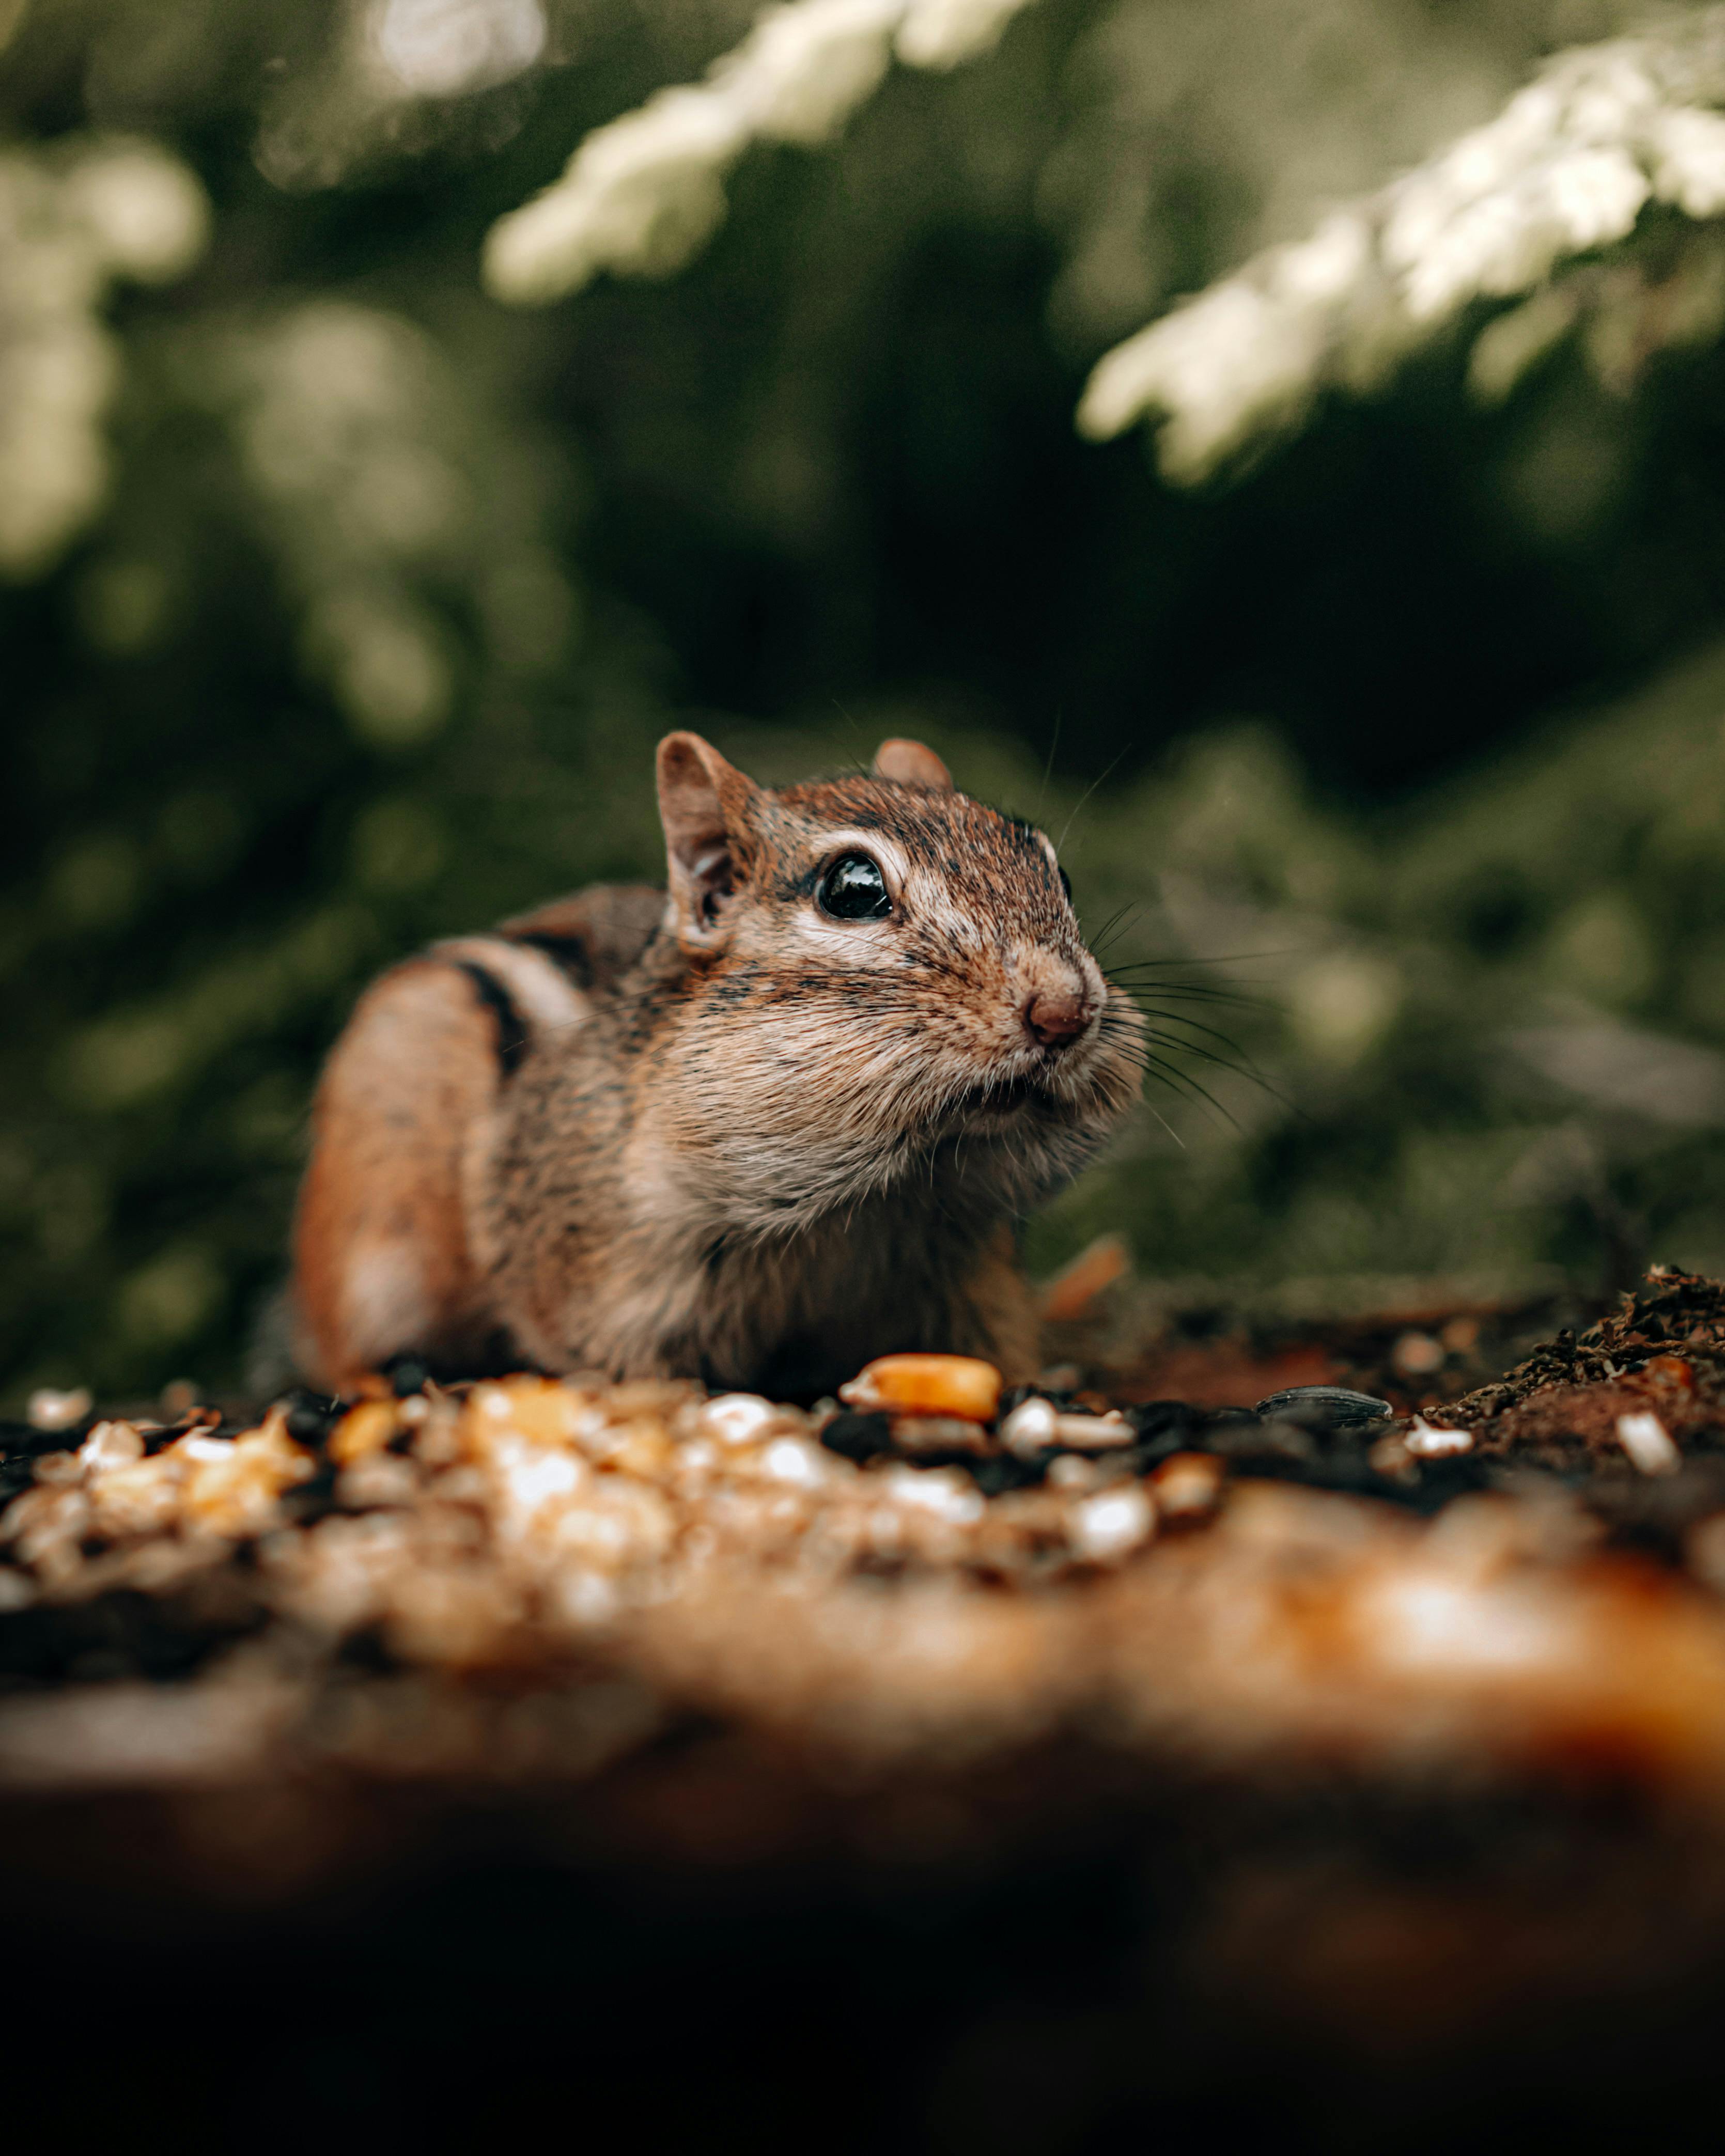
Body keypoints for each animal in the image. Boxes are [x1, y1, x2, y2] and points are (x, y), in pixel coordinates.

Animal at [291, 733, 1144, 1399]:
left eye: (1058, 874)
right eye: (853, 888)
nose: (1064, 1009)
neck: (878, 1200)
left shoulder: (975, 1283)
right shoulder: (599, 1288)